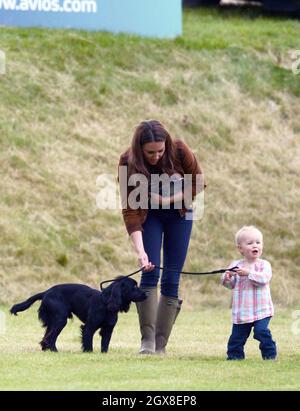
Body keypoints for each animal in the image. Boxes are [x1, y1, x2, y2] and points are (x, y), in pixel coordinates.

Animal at [11, 278, 147, 352]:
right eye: (134, 286)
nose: (146, 294)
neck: (106, 302)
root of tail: (46, 292)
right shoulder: (89, 327)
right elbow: (88, 342)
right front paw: (88, 353)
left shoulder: (108, 329)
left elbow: (105, 345)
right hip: (60, 320)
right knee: (50, 337)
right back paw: (54, 351)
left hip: (54, 320)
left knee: (46, 337)